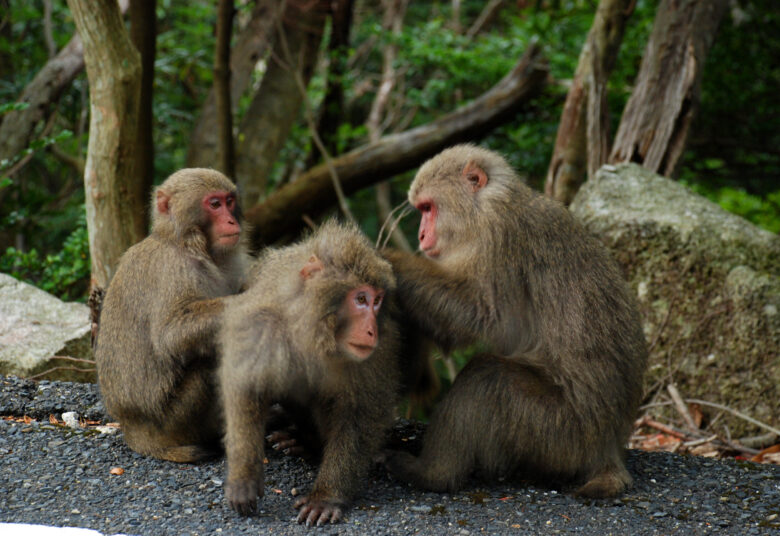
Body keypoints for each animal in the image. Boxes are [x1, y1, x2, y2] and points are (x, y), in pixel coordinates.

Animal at [94, 170, 248, 462]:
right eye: (214, 204)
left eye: (230, 201)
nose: (231, 220)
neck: (184, 241)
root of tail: (134, 433)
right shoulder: (173, 269)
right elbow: (171, 333)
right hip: (174, 420)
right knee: (208, 362)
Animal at [221, 220, 400, 524]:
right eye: (360, 299)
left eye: (376, 301)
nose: (371, 330)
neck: (312, 328)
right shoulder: (261, 322)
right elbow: (247, 385)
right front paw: (244, 475)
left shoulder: (370, 356)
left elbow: (359, 414)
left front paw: (326, 496)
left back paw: (309, 444)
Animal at [382, 143, 644, 498]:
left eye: (427, 208)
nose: (422, 235)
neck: (484, 208)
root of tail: (608, 445)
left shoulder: (499, 237)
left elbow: (477, 314)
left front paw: (390, 261)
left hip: (559, 432)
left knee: (487, 378)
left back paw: (431, 474)